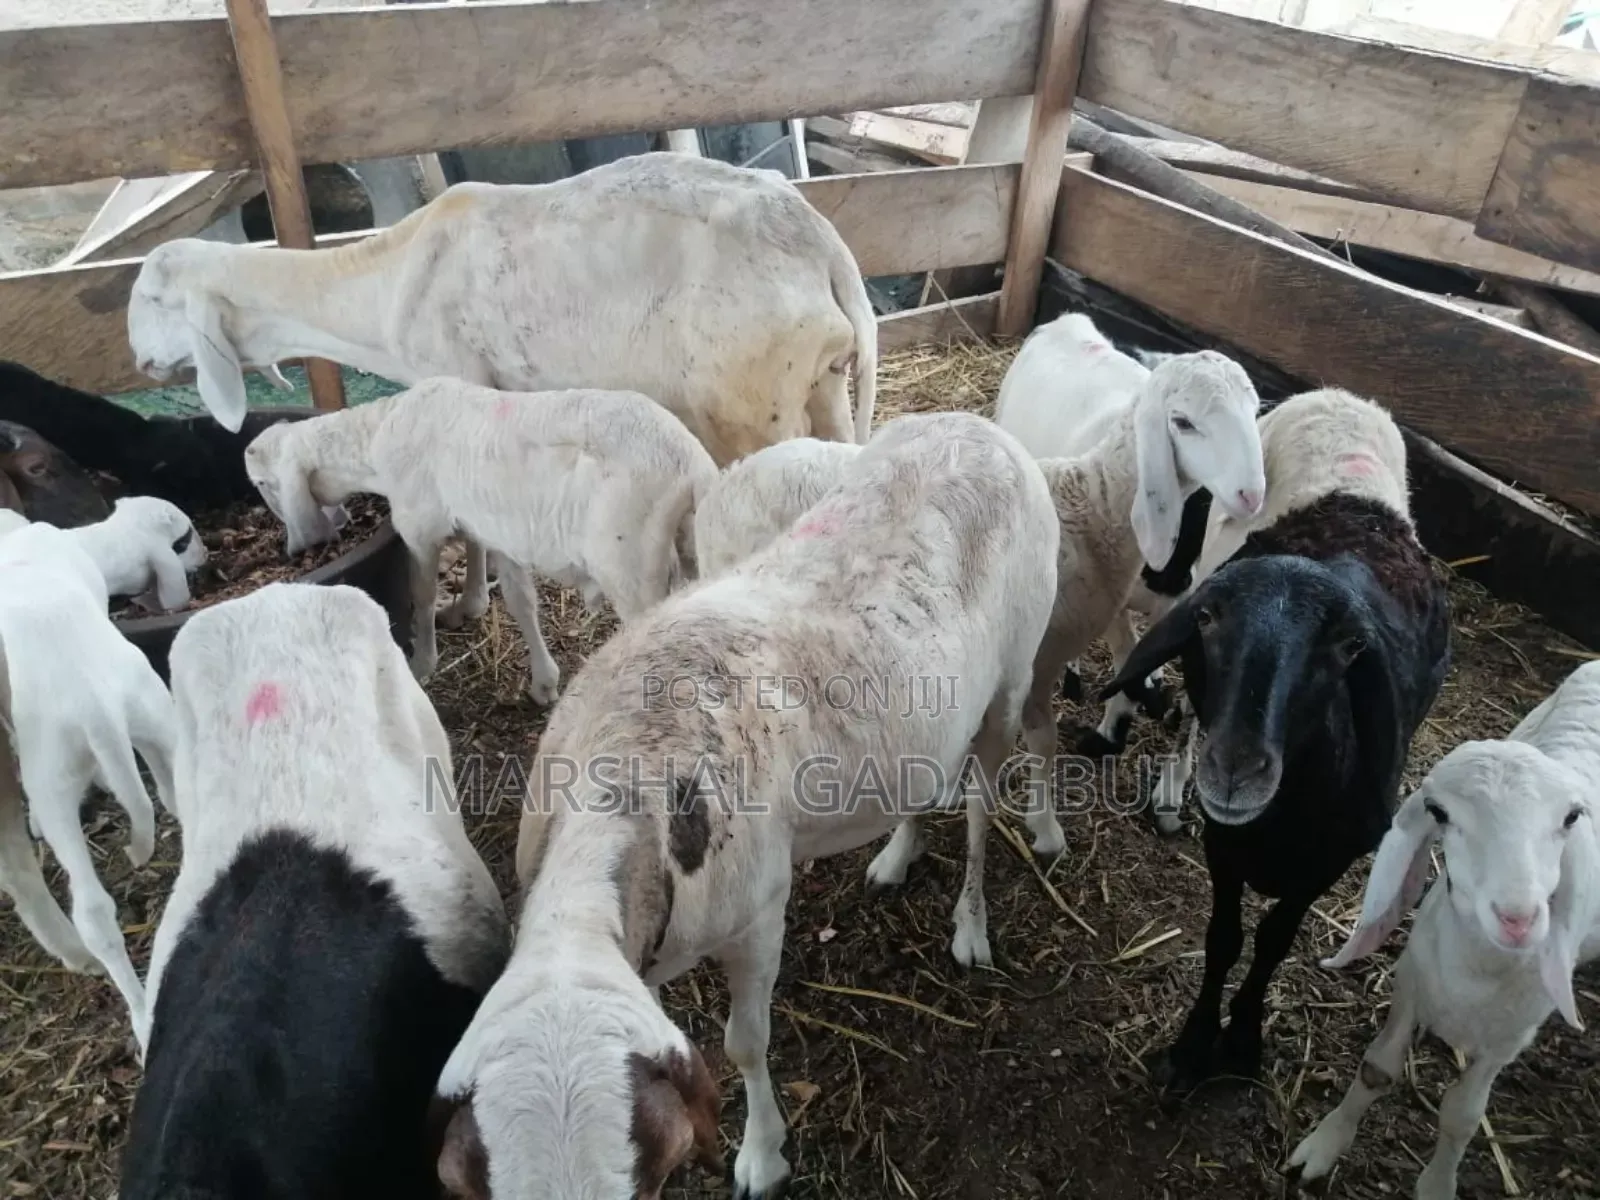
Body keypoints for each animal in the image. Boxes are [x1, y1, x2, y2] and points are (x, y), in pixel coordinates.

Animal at [243, 380, 719, 706]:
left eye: (263, 483)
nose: (288, 550)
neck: (375, 441)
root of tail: (692, 463)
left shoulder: (419, 528)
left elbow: (420, 595)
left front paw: (422, 663)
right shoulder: (500, 533)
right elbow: (520, 600)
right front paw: (543, 681)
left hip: (632, 569)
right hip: (691, 551)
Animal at [993, 313, 1254, 752]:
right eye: (1183, 422)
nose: (1249, 496)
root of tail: (1068, 320)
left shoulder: (1178, 598)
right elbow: (1126, 660)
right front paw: (1110, 731)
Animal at [1097, 387, 1451, 1093]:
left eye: (1349, 647)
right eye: (1206, 618)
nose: (1236, 768)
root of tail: (1340, 396)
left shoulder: (1324, 867)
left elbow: (1273, 943)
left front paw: (1242, 1039)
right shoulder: (1224, 848)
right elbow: (1224, 939)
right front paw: (1195, 1044)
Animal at [1285, 659, 1600, 1200]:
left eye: (1571, 817)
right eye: (1439, 812)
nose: (1518, 918)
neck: (1479, 971)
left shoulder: (1510, 1040)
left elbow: (1463, 1116)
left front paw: (1437, 1183)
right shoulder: (1411, 983)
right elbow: (1376, 1069)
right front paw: (1326, 1143)